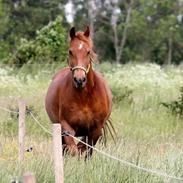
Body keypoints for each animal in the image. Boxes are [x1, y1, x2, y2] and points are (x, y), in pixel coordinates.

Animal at [45, 26, 115, 157]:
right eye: (70, 51)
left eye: (88, 51)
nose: (79, 80)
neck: (85, 97)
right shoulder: (66, 127)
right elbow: (73, 150)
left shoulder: (95, 130)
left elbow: (86, 149)